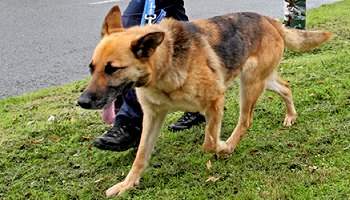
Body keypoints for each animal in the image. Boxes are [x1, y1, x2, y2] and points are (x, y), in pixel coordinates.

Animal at [77, 5, 330, 197]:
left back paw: (231, 144)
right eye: (92, 68)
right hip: (261, 80)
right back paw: (290, 115)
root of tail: (270, 20)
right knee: (285, 88)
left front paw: (223, 147)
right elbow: (141, 155)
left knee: (245, 120)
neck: (165, 62)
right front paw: (128, 183)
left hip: (250, 84)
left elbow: (209, 143)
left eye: (112, 69)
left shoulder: (215, 101)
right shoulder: (152, 116)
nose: (83, 102)